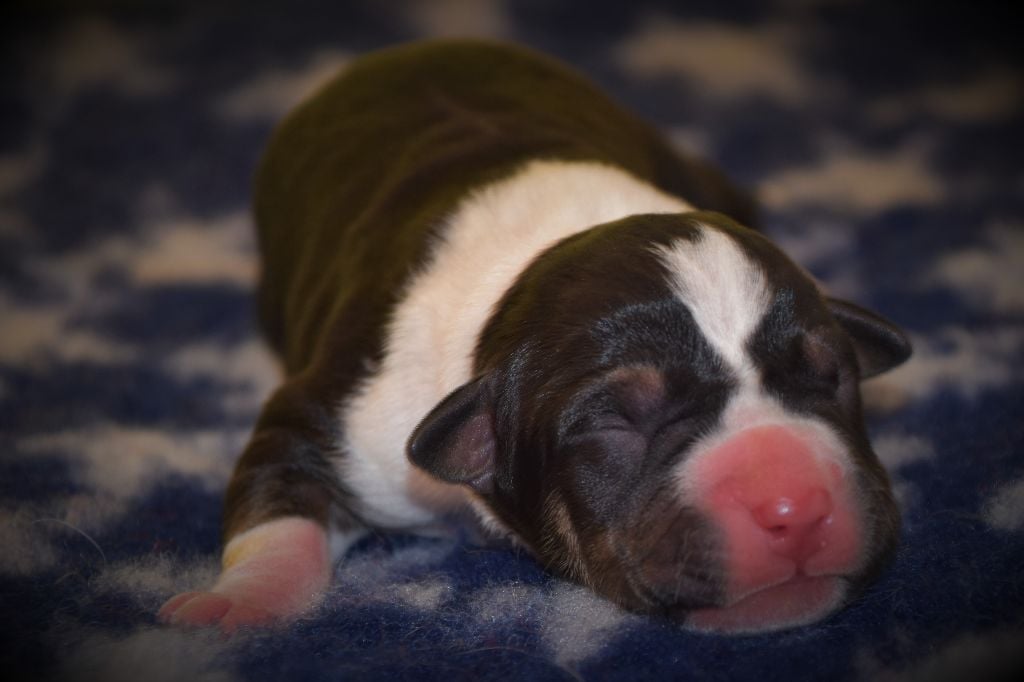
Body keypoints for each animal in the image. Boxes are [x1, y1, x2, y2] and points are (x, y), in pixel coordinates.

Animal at [159, 40, 910, 634]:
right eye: (612, 420)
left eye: (831, 376)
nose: (797, 508)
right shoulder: (334, 415)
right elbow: (276, 506)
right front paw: (235, 605)